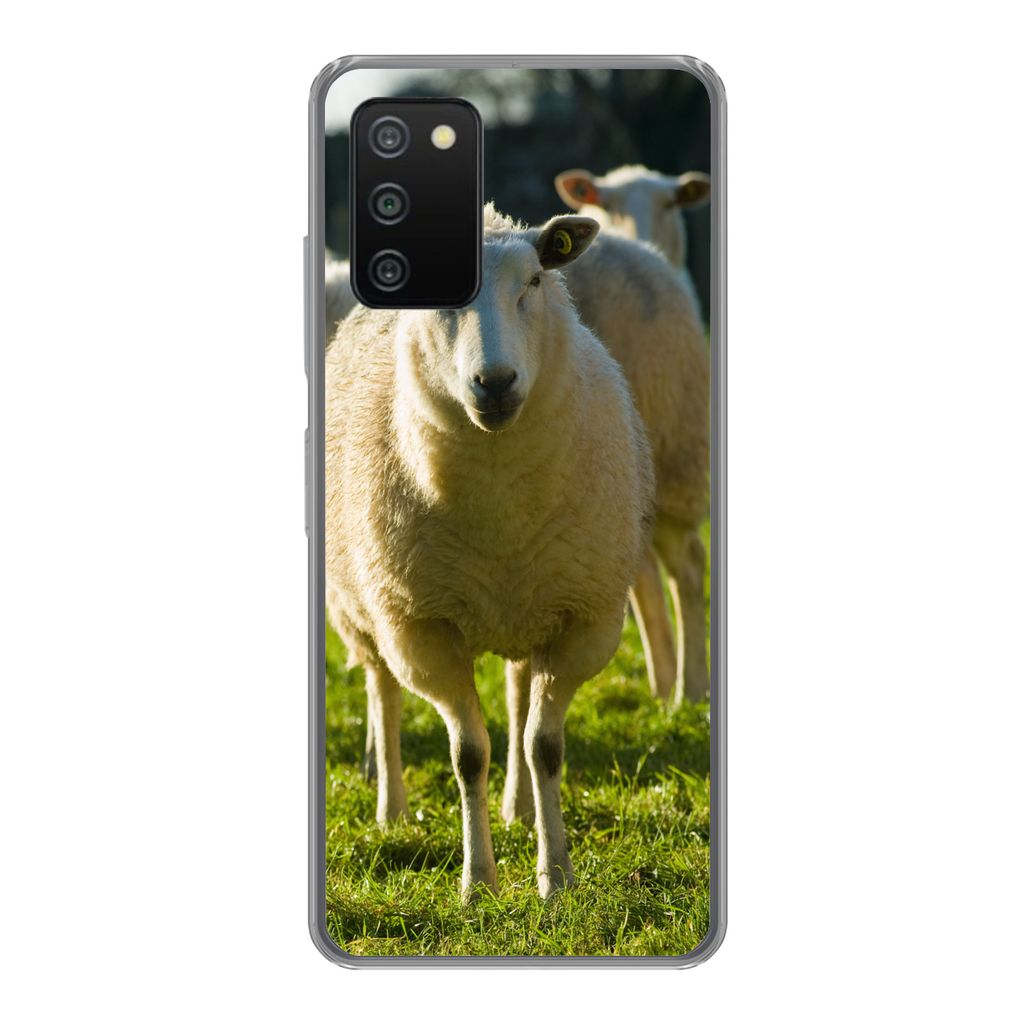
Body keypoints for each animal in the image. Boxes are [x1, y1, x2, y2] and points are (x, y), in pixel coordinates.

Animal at [325, 206, 655, 901]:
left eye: (534, 280)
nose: (496, 383)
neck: (500, 504)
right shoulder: (423, 629)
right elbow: (466, 754)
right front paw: (479, 882)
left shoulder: (581, 619)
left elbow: (543, 747)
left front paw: (555, 877)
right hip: (365, 607)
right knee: (382, 693)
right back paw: (392, 809)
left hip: (528, 604)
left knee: (517, 696)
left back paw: (519, 808)